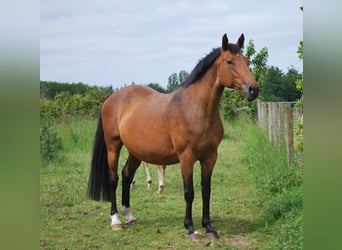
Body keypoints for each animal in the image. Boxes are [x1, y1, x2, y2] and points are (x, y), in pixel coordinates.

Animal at [87, 32, 258, 238]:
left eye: (247, 61)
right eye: (230, 61)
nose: (253, 89)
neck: (195, 109)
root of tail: (111, 99)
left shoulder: (210, 157)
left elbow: (206, 191)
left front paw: (208, 227)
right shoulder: (186, 157)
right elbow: (189, 192)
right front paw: (191, 228)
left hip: (136, 151)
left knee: (126, 175)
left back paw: (129, 216)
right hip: (113, 146)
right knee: (114, 179)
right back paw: (116, 220)